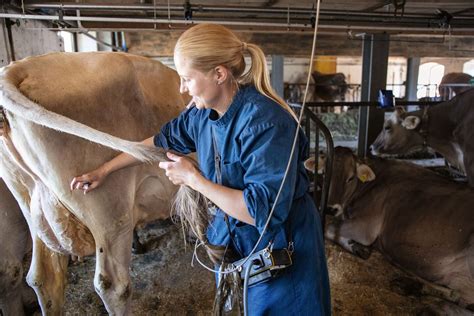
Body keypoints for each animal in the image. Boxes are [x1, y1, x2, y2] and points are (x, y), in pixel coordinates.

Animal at [306, 148, 472, 312]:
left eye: (351, 178)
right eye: (325, 174)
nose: (331, 208)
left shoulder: (366, 226)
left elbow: (328, 227)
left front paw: (357, 246)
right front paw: (357, 247)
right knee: (456, 293)